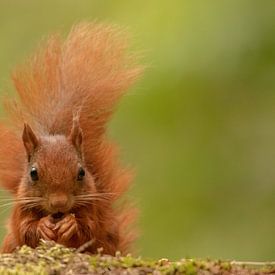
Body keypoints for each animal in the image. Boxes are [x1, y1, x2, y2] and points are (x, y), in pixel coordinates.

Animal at [0, 22, 142, 256]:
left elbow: (88, 228)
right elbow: (25, 229)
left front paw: (70, 224)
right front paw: (43, 226)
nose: (59, 204)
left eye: (82, 172)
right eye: (33, 173)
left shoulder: (92, 205)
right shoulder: (22, 207)